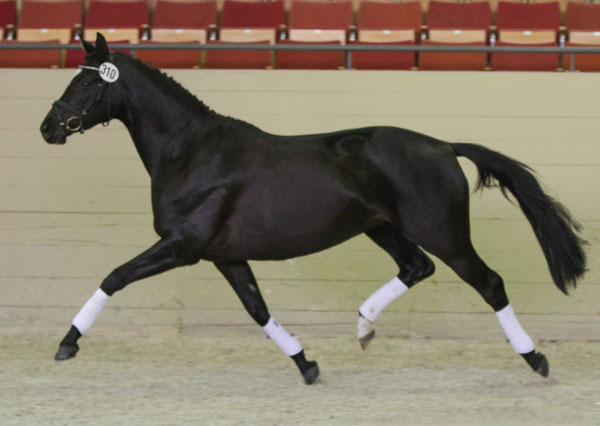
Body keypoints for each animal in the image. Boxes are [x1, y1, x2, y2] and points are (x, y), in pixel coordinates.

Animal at [41, 35, 584, 384]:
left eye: (85, 84)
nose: (49, 128)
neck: (191, 151)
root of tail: (444, 146)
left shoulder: (182, 246)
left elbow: (113, 277)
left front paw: (68, 343)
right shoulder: (225, 255)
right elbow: (258, 310)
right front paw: (307, 364)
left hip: (444, 233)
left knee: (489, 283)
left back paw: (535, 359)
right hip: (383, 228)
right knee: (416, 267)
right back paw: (364, 326)